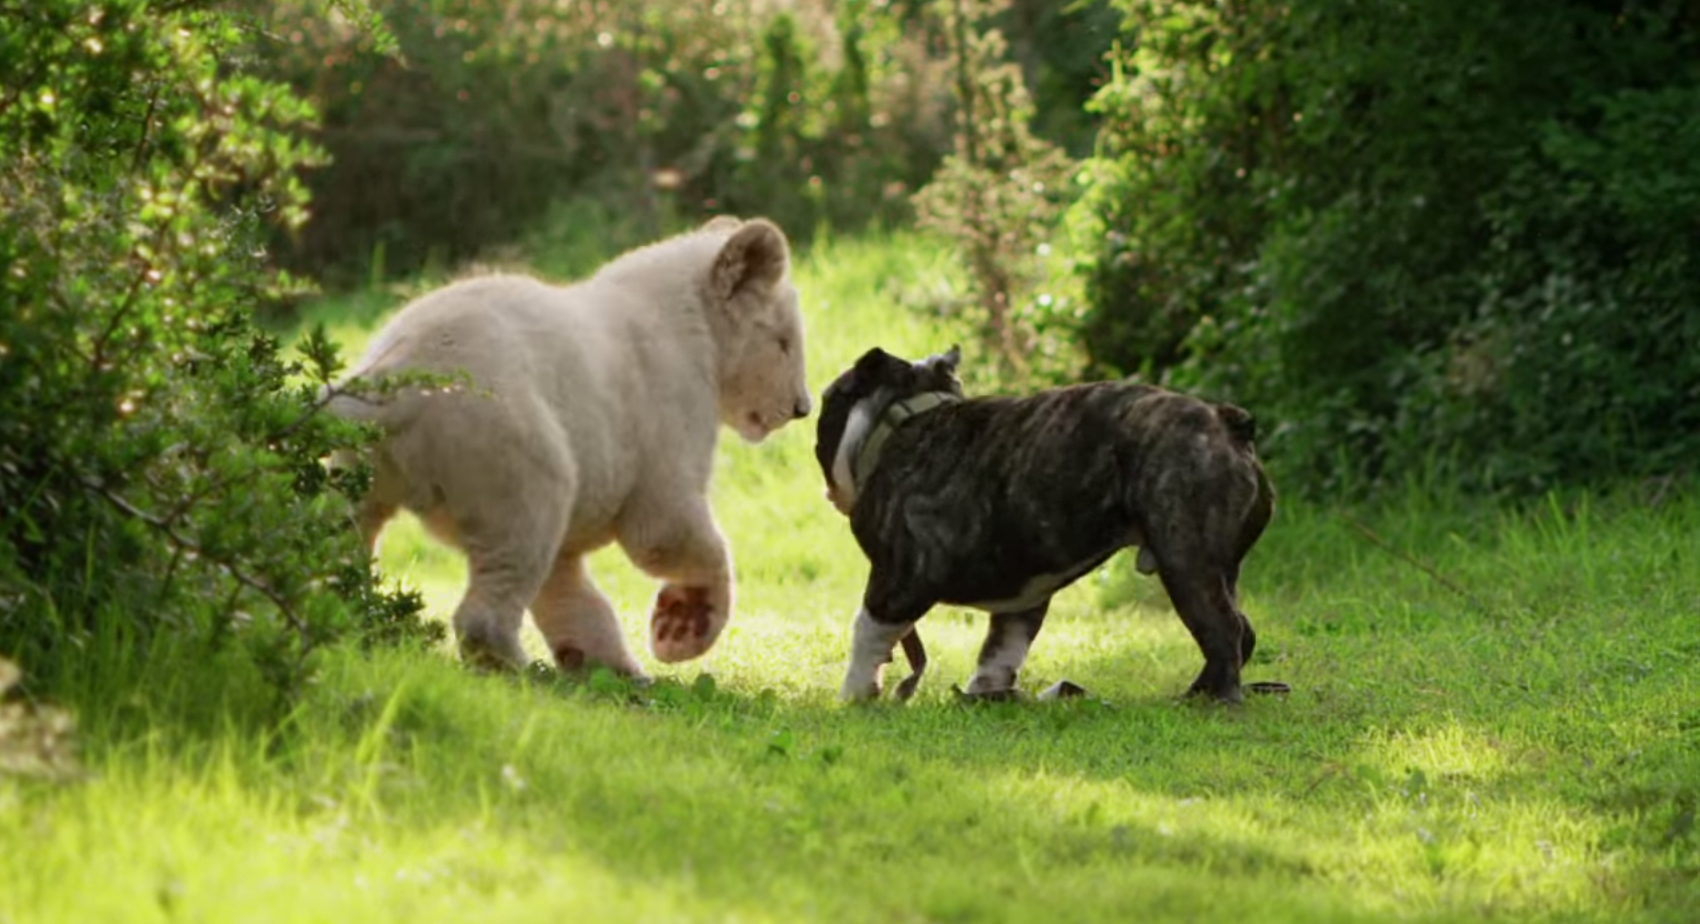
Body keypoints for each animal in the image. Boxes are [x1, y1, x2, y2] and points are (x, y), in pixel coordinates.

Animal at [812, 349, 1285, 703]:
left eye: (827, 405)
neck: (902, 420)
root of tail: (1228, 423)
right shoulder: (1023, 597)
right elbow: (1002, 649)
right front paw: (987, 695)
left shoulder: (898, 582)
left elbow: (867, 634)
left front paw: (853, 697)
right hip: (1220, 569)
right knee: (1241, 630)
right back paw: (1198, 693)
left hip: (1186, 561)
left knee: (1222, 630)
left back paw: (1217, 700)